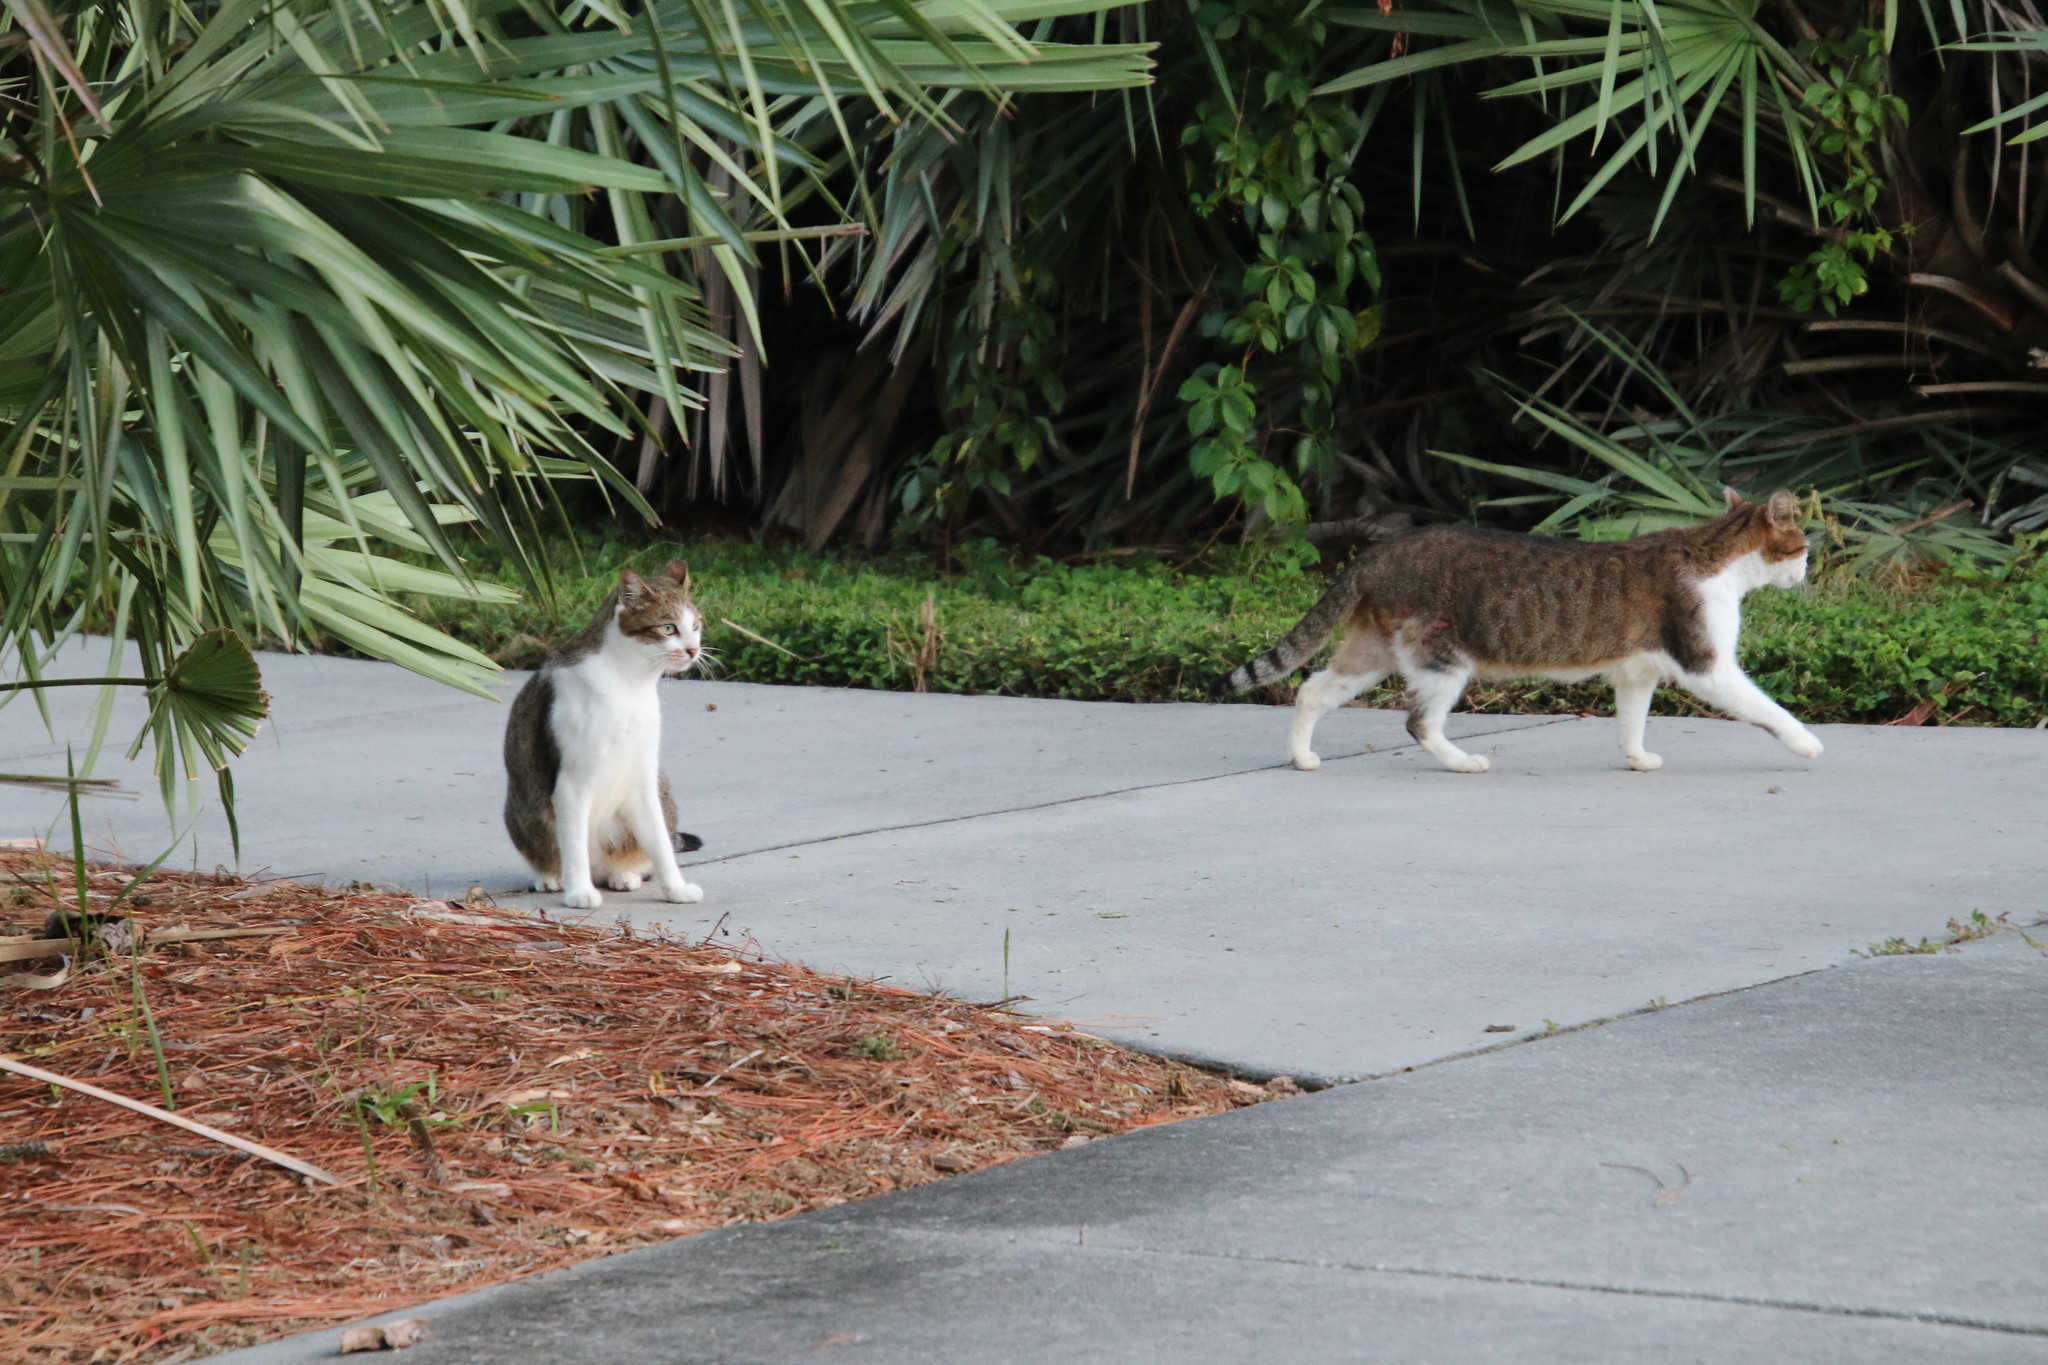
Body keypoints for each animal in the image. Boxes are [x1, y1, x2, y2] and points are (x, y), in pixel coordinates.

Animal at [503, 556, 704, 908]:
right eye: (668, 627)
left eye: (695, 626)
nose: (693, 650)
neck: (628, 681)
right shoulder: (571, 782)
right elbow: (573, 845)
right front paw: (579, 891)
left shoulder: (643, 775)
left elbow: (660, 842)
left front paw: (676, 888)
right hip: (521, 808)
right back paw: (553, 878)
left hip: (660, 786)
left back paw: (624, 873)